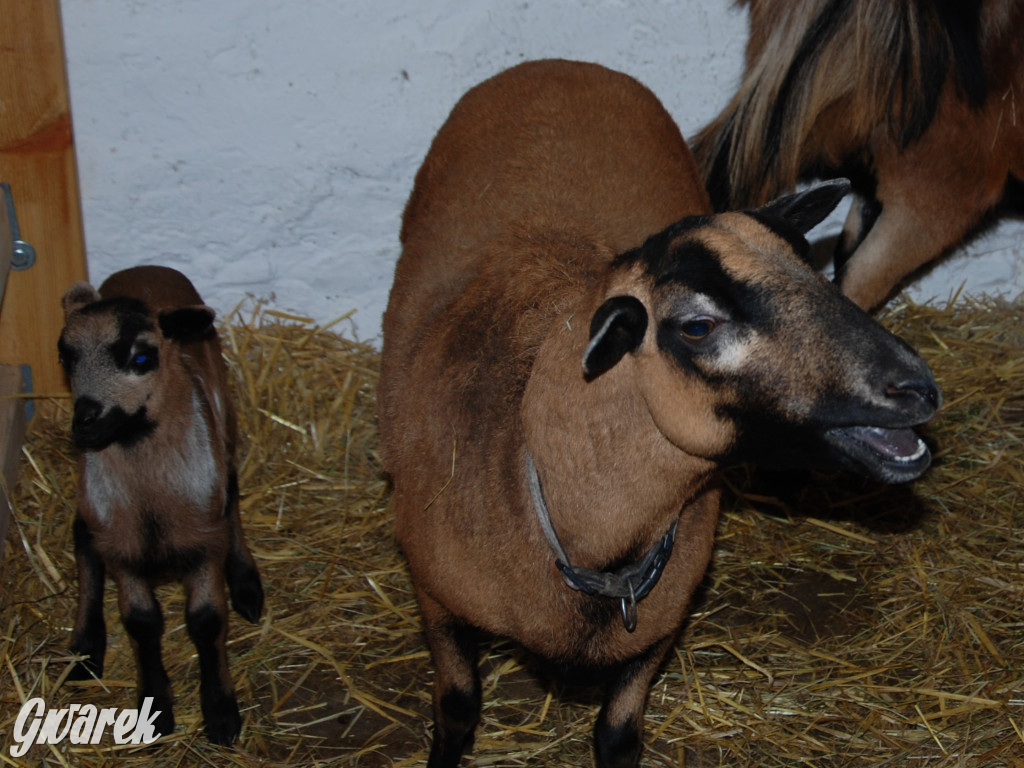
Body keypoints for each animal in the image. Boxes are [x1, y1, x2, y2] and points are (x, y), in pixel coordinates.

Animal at [380, 61, 937, 768]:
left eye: (811, 268)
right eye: (697, 325)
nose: (917, 387)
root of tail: (560, 64)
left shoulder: (655, 631)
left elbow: (618, 737)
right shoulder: (435, 600)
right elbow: (456, 709)